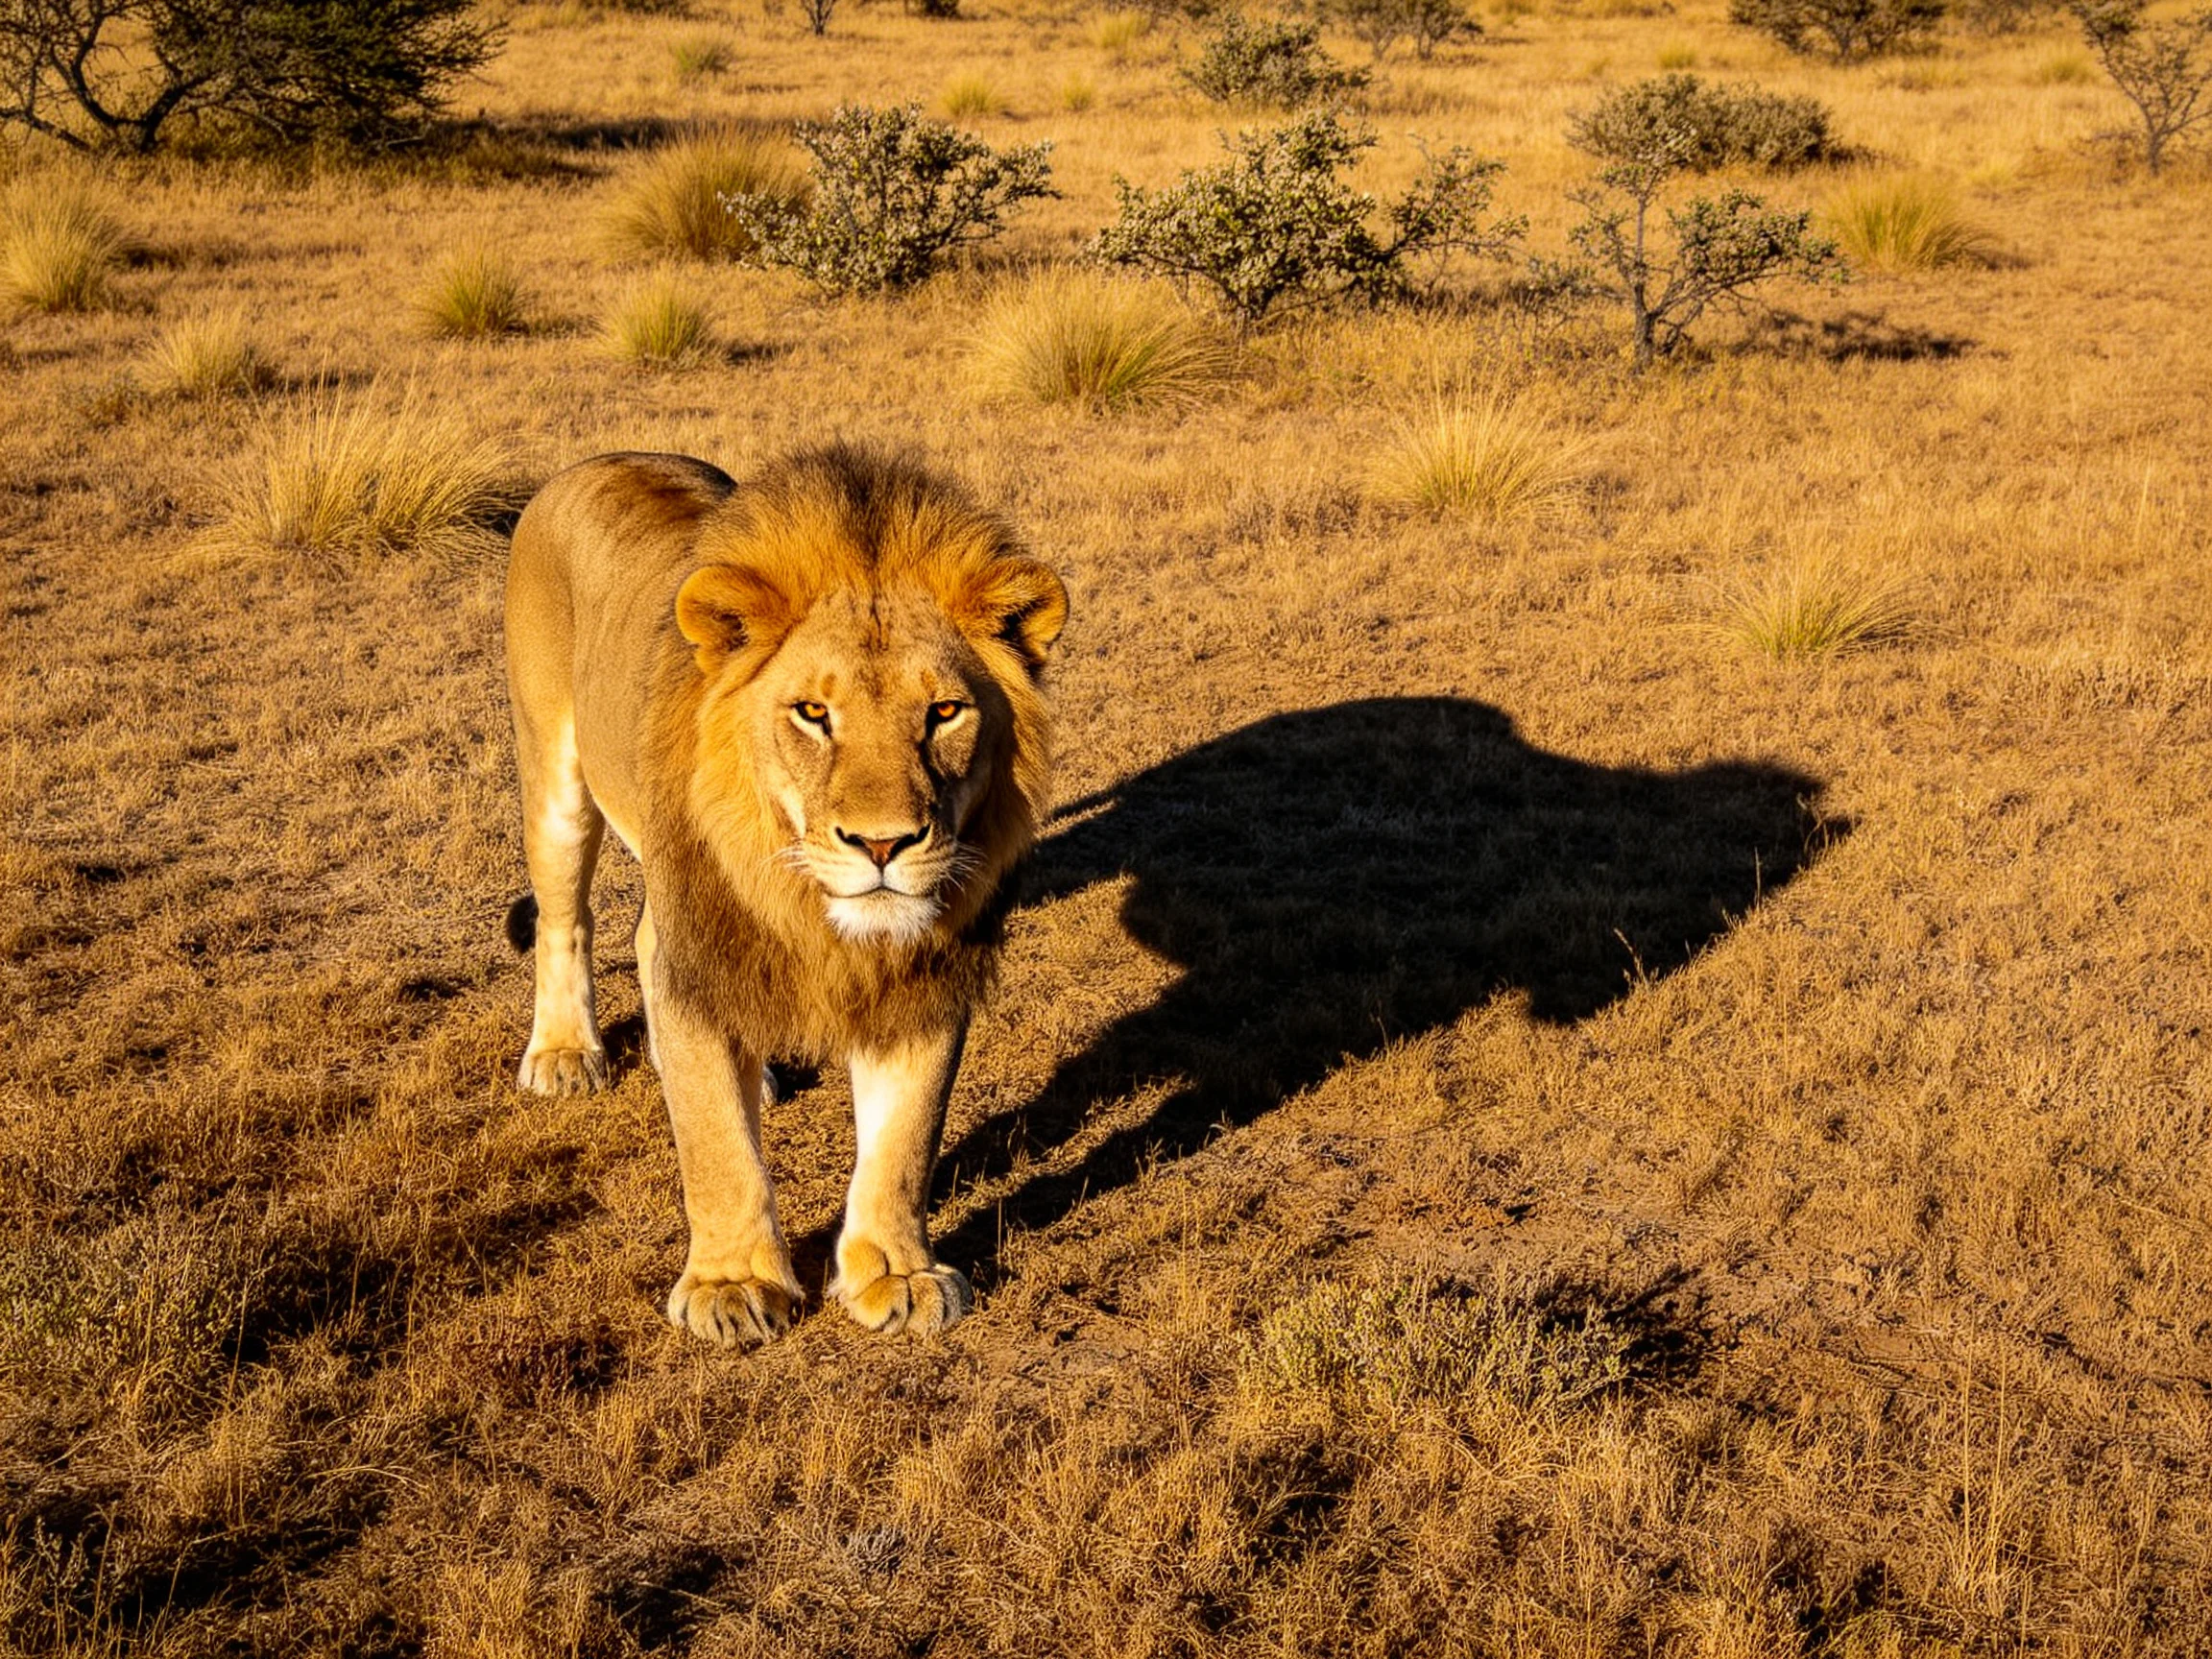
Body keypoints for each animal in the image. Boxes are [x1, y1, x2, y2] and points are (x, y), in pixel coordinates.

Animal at [502, 443, 1067, 1346]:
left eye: (945, 711)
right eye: (812, 713)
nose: (884, 844)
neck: (814, 910)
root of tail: (604, 458)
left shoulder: (929, 972)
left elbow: (906, 1137)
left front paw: (898, 1274)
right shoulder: (697, 941)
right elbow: (714, 1141)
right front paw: (732, 1283)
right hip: (554, 777)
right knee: (568, 921)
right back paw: (563, 1055)